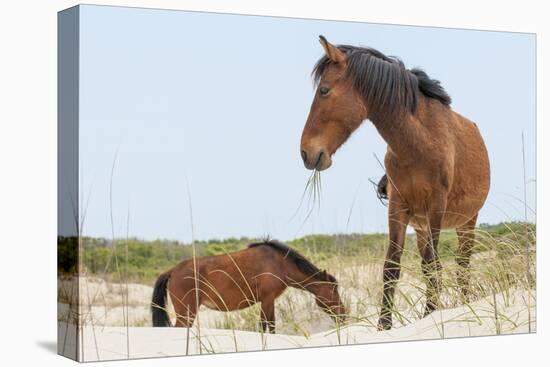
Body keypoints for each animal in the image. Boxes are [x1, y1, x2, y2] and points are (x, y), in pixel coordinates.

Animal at [151, 240, 348, 334]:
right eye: (334, 290)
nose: (344, 315)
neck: (279, 263)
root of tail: (172, 271)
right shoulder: (267, 300)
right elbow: (264, 326)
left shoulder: (269, 301)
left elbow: (271, 326)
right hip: (187, 313)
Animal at [302, 36, 492, 330]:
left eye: (324, 90)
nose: (306, 153)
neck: (418, 143)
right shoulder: (398, 208)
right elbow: (392, 268)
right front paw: (385, 325)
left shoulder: (436, 207)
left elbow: (435, 265)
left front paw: (431, 314)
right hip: (422, 226)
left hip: (467, 221)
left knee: (462, 264)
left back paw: (464, 302)